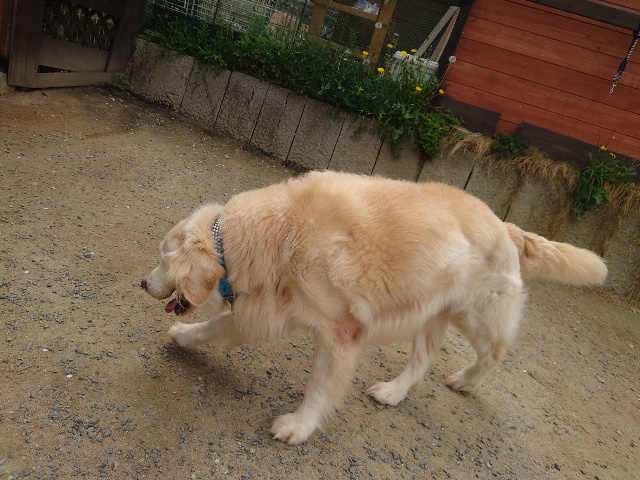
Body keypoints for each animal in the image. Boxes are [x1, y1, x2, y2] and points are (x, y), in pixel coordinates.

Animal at [141, 171, 607, 444]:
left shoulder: (341, 333)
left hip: (476, 316)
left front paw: (299, 427)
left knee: (494, 353)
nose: (142, 283)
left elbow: (319, 388)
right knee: (422, 361)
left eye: (163, 259)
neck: (278, 232)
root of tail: (507, 226)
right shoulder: (263, 308)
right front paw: (183, 337)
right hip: (428, 313)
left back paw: (466, 381)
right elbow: (213, 328)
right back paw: (393, 392)